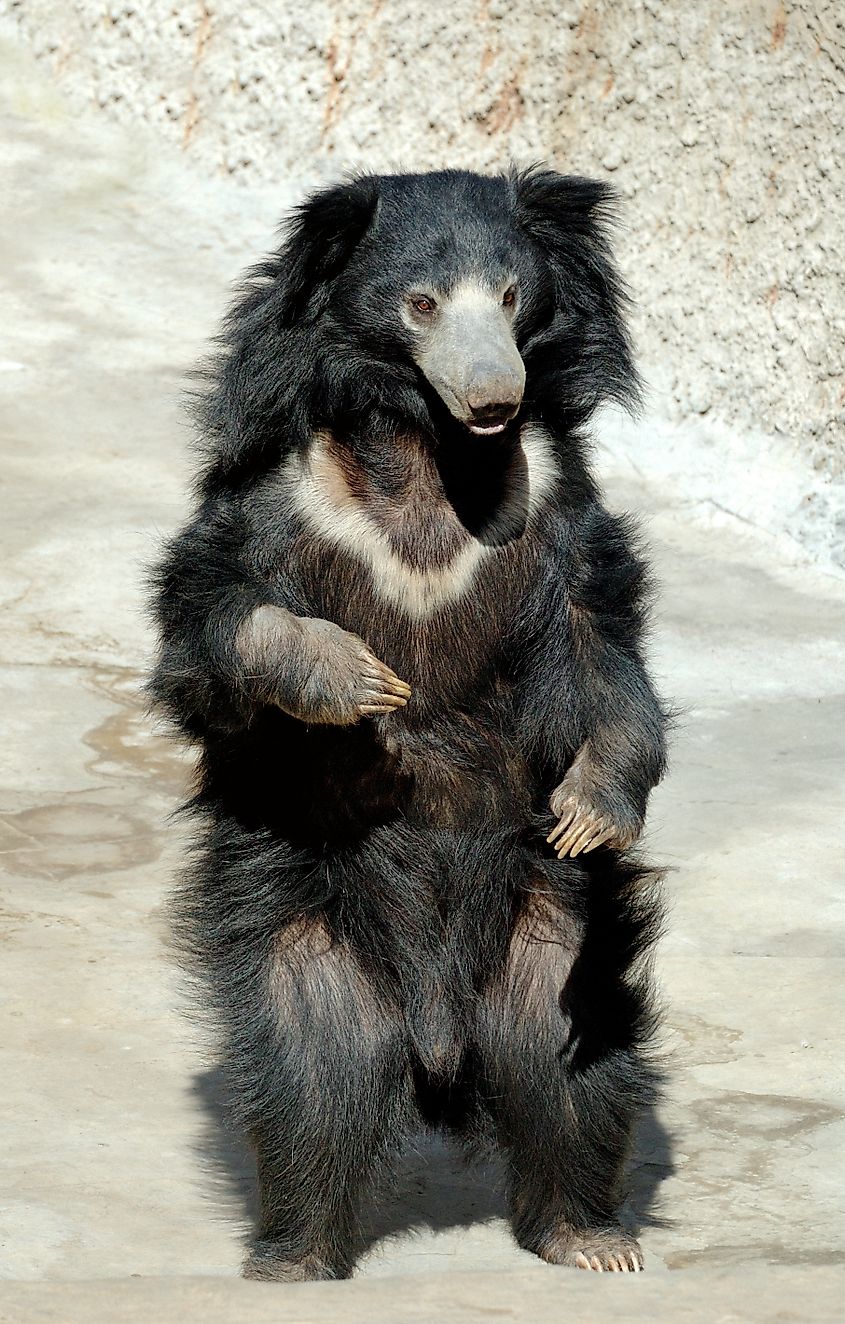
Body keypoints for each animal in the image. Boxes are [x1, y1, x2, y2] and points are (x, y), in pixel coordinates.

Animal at [148, 166, 669, 1280]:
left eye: (510, 298)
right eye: (421, 304)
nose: (493, 397)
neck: (431, 455)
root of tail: (437, 1042)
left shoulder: (557, 510)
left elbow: (603, 655)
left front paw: (591, 811)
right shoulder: (278, 495)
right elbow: (209, 620)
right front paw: (354, 680)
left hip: (547, 926)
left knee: (570, 1055)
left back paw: (589, 1237)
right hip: (309, 925)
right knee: (311, 1073)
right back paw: (294, 1255)